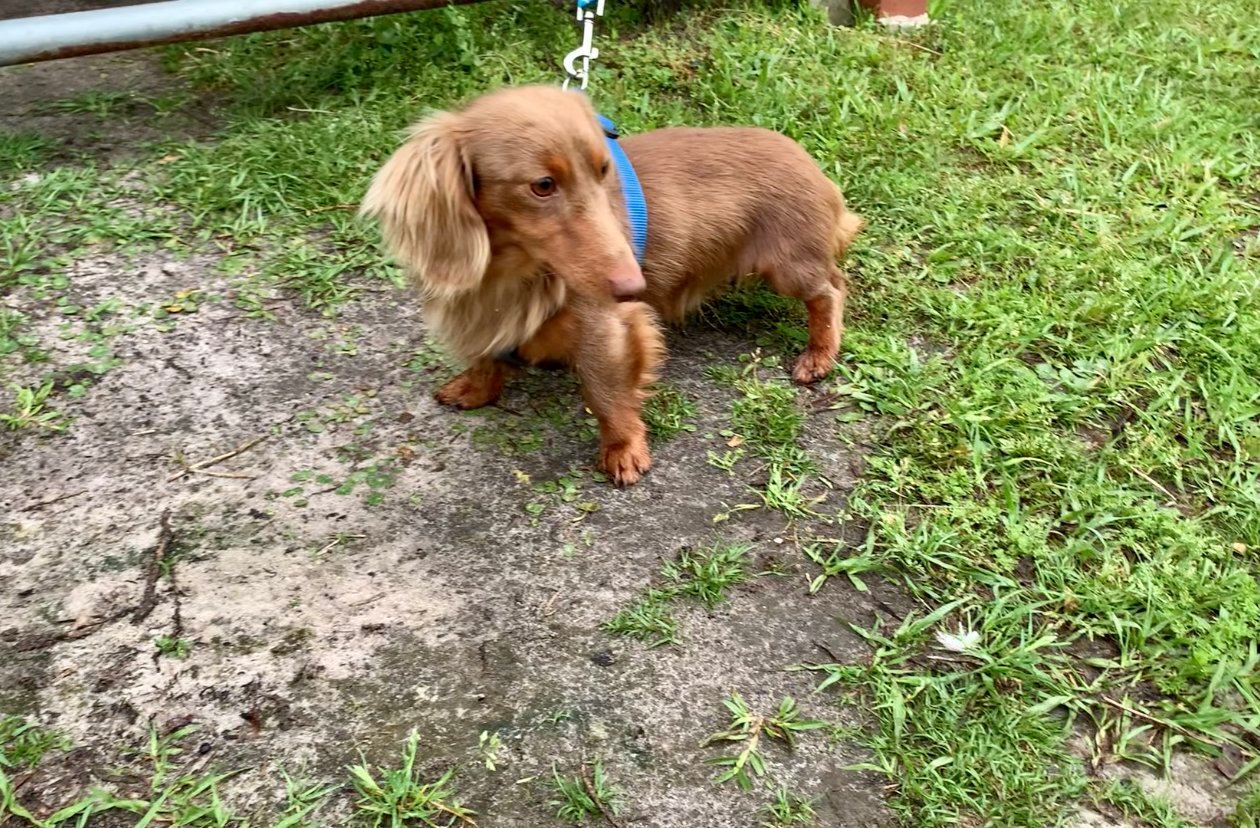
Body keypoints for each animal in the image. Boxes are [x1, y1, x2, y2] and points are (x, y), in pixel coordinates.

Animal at [360, 83, 861, 483]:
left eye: (604, 170)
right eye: (543, 185)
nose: (631, 285)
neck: (513, 273)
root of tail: (808, 161)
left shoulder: (606, 326)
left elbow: (606, 395)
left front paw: (623, 450)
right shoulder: (479, 312)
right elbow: (485, 357)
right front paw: (475, 389)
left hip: (789, 265)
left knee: (831, 289)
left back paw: (818, 354)